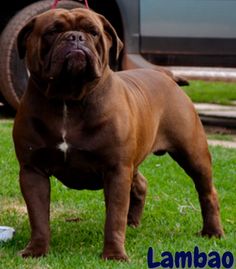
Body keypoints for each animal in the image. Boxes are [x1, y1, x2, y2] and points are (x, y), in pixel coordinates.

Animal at [13, 7, 224, 260]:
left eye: (93, 31)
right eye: (52, 31)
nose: (75, 37)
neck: (68, 99)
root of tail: (167, 76)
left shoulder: (116, 169)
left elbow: (114, 217)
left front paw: (114, 254)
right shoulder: (32, 171)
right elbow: (38, 216)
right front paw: (36, 249)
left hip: (193, 154)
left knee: (207, 191)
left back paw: (213, 232)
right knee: (140, 183)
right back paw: (132, 222)